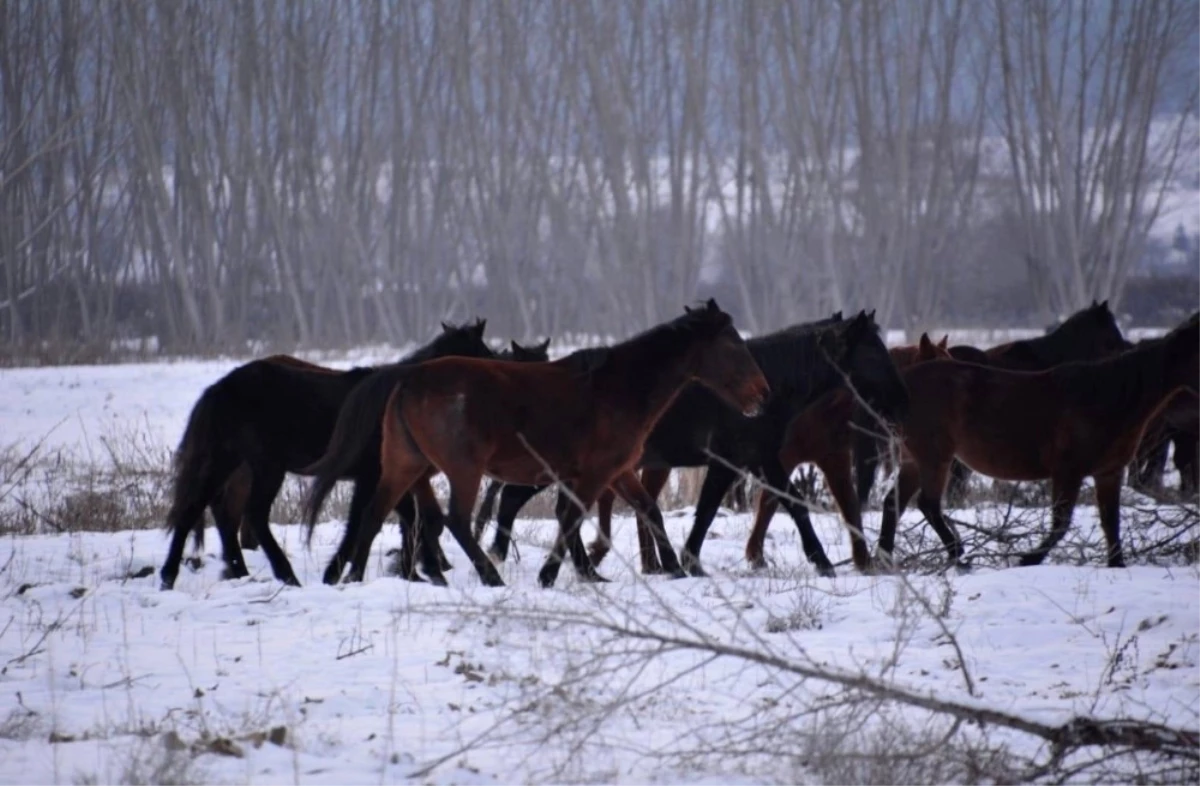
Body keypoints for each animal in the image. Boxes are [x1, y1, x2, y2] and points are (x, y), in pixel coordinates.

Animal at [157, 319, 494, 590]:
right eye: (483, 354)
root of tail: (219, 389)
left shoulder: (384, 478)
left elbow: (408, 521)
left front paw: (413, 572)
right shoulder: (374, 477)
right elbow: (365, 522)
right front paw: (337, 572)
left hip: (227, 462)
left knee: (197, 509)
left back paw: (184, 576)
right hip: (265, 467)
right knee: (250, 515)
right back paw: (285, 575)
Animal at [300, 298, 768, 588]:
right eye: (732, 344)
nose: (762, 394)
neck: (619, 388)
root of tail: (408, 377)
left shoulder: (616, 471)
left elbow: (647, 510)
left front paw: (671, 569)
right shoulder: (595, 472)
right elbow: (571, 517)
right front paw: (552, 575)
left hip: (406, 464)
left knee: (376, 513)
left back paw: (358, 576)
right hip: (462, 469)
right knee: (455, 519)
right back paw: (489, 576)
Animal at [744, 331, 950, 571]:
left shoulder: (834, 458)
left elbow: (849, 504)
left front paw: (862, 560)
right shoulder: (783, 458)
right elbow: (769, 501)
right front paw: (756, 556)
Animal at [873, 319, 1200, 571]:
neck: (1103, 399)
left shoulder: (1109, 472)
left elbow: (1111, 523)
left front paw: (1117, 565)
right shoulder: (1068, 471)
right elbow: (1061, 523)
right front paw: (1028, 560)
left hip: (916, 462)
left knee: (893, 503)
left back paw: (885, 561)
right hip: (935, 458)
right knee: (927, 504)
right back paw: (958, 556)